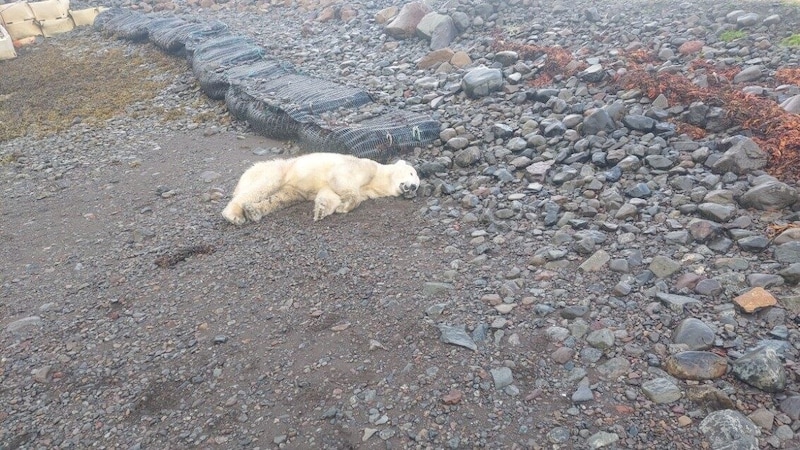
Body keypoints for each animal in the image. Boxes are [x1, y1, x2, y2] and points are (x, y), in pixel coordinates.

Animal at [219, 153, 418, 225]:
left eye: (417, 185)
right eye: (411, 173)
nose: (413, 187)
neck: (377, 179)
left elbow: (329, 194)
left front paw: (322, 210)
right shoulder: (363, 167)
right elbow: (342, 180)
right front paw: (345, 206)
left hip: (291, 189)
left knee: (280, 198)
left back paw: (253, 211)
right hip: (277, 170)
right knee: (262, 187)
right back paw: (234, 215)